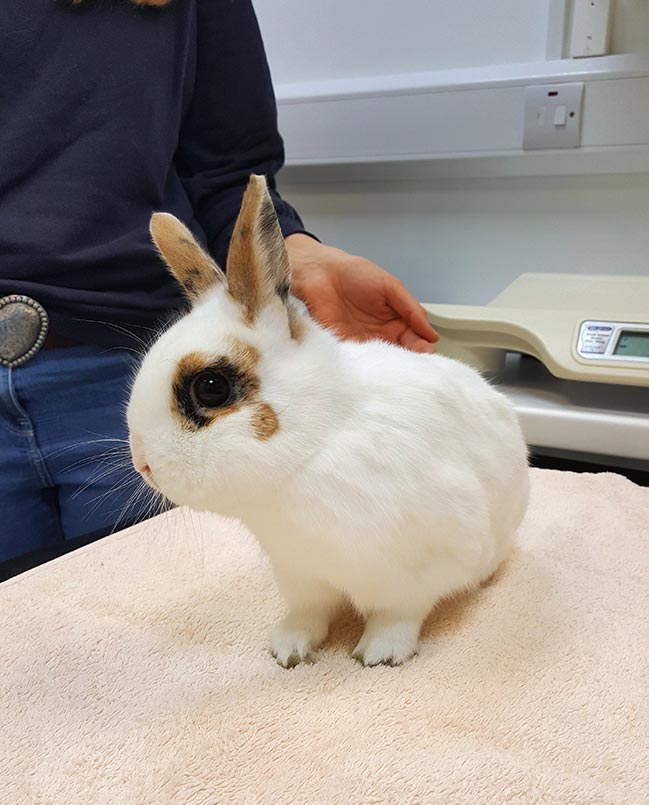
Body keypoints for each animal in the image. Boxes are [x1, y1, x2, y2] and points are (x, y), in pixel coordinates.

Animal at [126, 174, 528, 664]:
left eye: (211, 387)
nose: (143, 464)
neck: (315, 448)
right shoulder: (300, 572)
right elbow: (309, 612)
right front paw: (288, 650)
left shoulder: (415, 571)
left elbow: (399, 614)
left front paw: (380, 654)